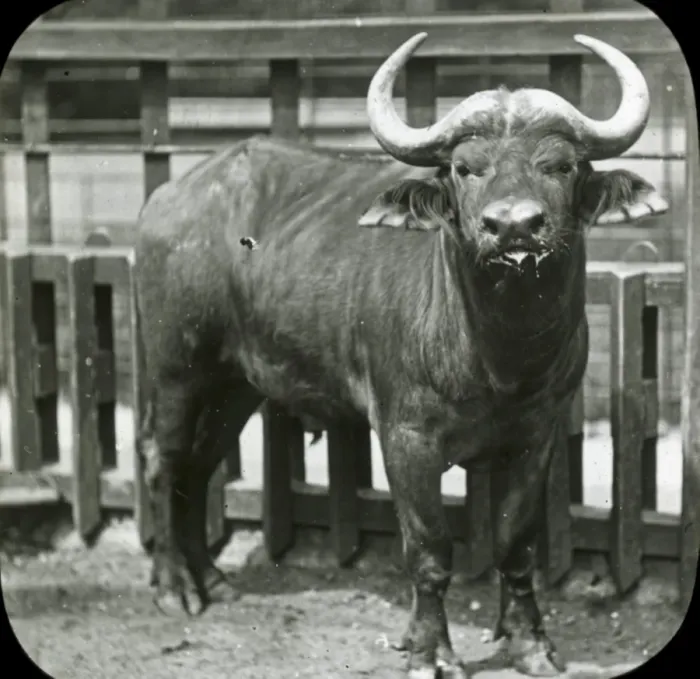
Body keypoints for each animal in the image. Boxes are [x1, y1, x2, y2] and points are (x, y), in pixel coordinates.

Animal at [135, 33, 668, 679]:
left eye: (561, 165)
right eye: (465, 168)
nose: (513, 227)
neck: (500, 356)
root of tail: (168, 197)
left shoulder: (537, 434)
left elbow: (516, 543)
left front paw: (529, 642)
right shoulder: (405, 437)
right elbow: (430, 547)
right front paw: (430, 650)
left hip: (233, 385)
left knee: (198, 464)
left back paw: (210, 579)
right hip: (176, 370)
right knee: (163, 461)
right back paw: (173, 587)